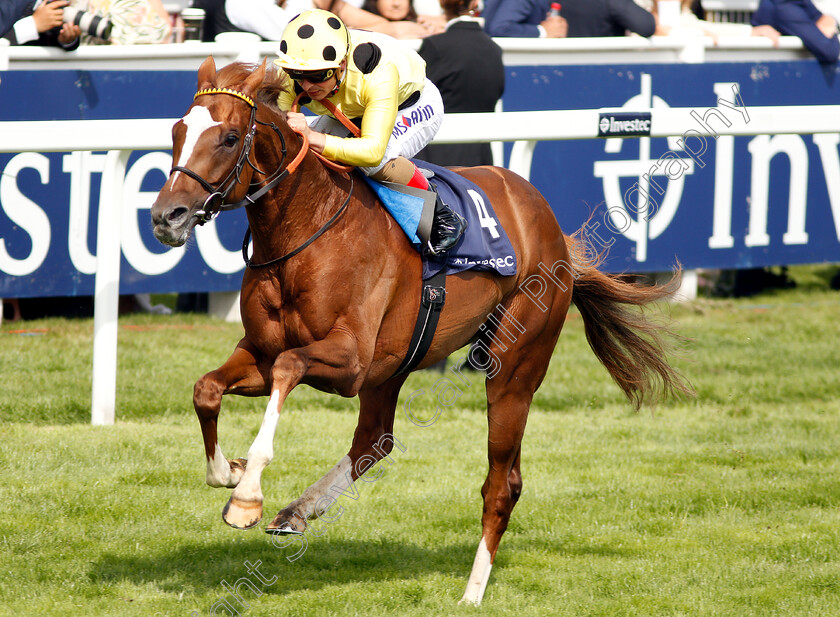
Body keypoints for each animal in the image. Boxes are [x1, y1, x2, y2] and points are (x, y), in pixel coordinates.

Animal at [149, 57, 688, 600]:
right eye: (176, 131)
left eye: (229, 138)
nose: (166, 216)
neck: (305, 231)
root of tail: (551, 226)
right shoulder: (262, 350)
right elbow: (207, 389)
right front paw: (229, 473)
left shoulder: (349, 362)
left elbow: (288, 366)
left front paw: (248, 495)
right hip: (395, 365)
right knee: (375, 440)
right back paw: (300, 511)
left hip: (513, 366)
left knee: (502, 482)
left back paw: (472, 591)